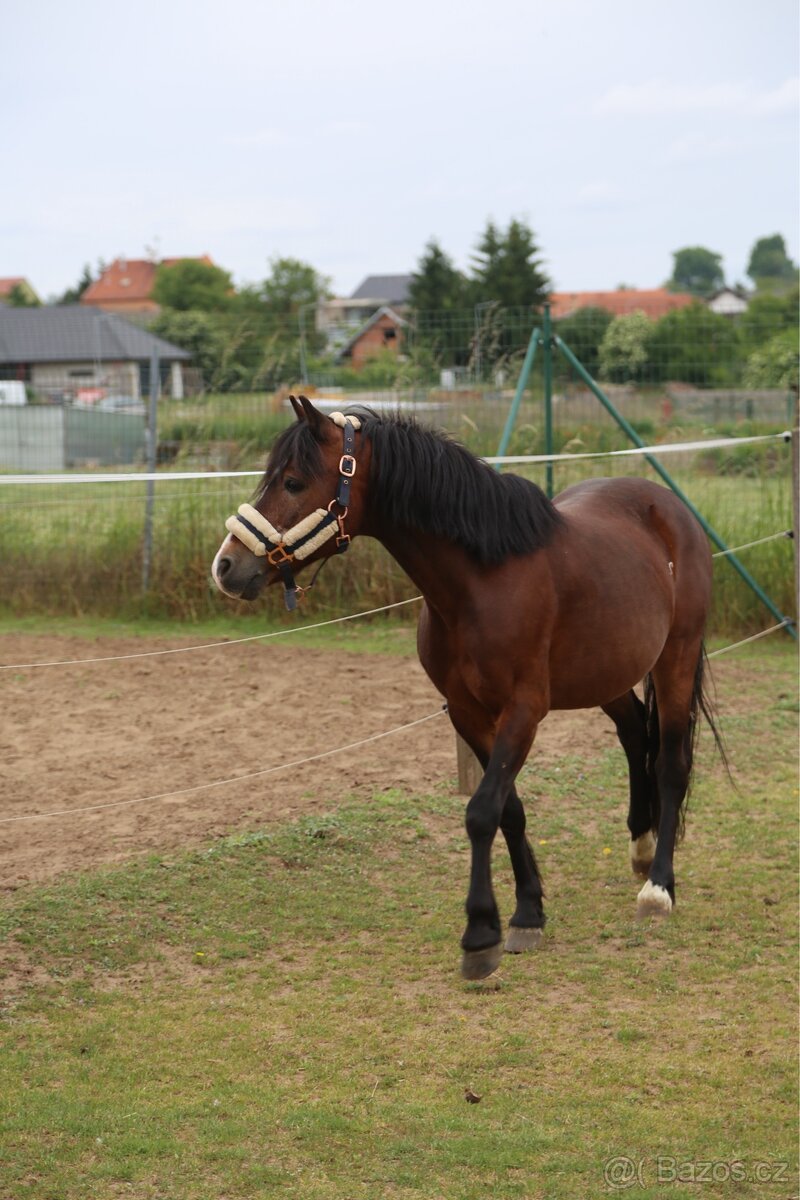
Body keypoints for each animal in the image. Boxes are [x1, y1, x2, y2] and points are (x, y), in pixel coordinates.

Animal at [212, 396, 723, 980]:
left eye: (293, 482)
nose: (226, 566)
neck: (482, 580)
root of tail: (670, 508)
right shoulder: (467, 713)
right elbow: (508, 810)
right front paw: (527, 913)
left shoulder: (523, 711)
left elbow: (482, 811)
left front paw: (481, 934)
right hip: (606, 673)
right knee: (637, 734)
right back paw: (640, 849)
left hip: (675, 659)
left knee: (671, 763)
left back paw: (658, 887)